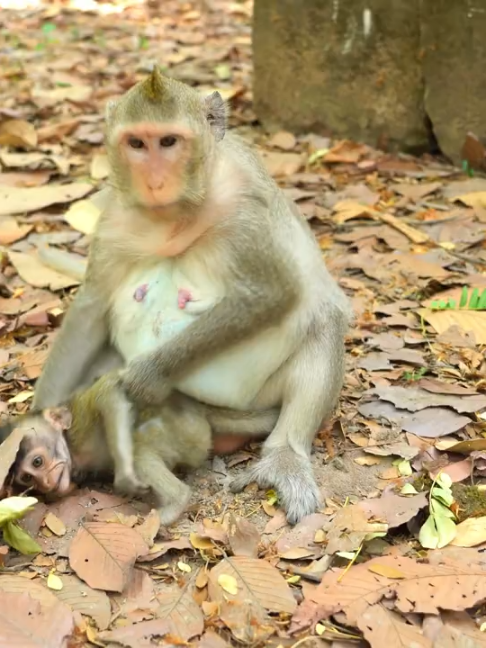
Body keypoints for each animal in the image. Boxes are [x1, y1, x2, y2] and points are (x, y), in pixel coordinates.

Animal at [3, 371, 281, 525]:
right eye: (29, 478)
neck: (70, 444)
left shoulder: (81, 420)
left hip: (187, 434)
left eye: (37, 462)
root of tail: (196, 410)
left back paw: (176, 501)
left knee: (141, 451)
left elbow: (109, 392)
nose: (46, 483)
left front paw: (125, 475)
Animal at [31, 67, 352, 525]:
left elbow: (272, 293)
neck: (177, 214)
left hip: (260, 396)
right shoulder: (115, 217)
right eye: (137, 143)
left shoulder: (245, 208)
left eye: (168, 141)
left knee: (322, 316)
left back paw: (284, 455)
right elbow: (91, 309)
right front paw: (37, 426)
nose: (154, 180)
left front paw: (147, 377)